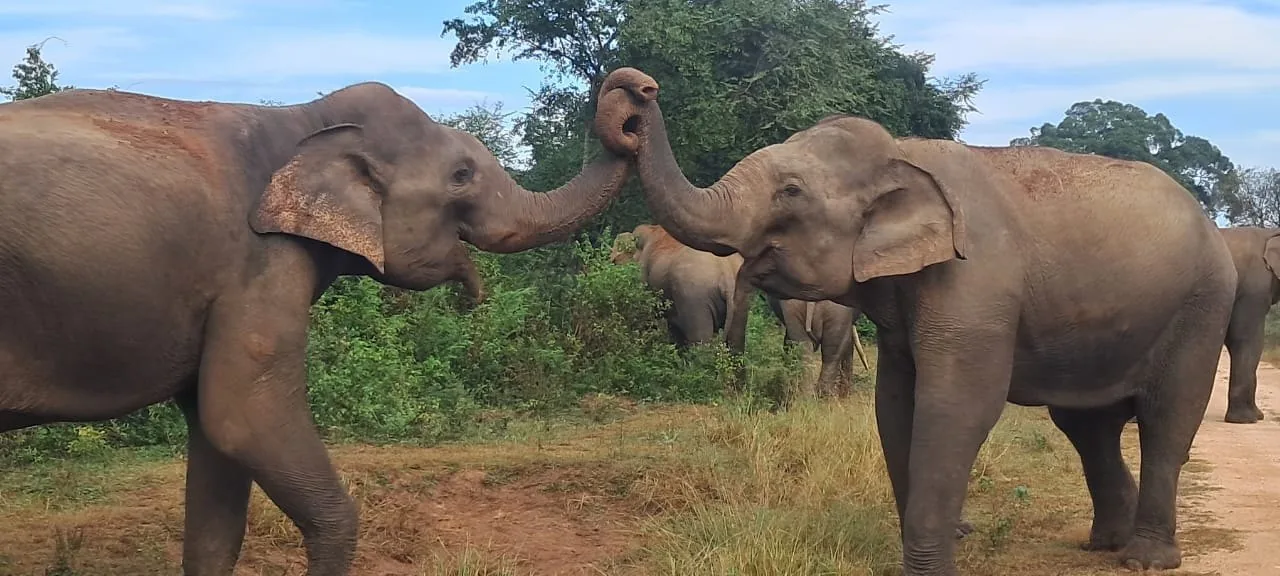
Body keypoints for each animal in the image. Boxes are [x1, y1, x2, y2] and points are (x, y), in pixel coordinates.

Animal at [0, 69, 658, 576]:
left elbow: (216, 444)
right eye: (461, 175)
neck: (300, 122)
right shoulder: (259, 261)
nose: (637, 95)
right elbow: (244, 416)